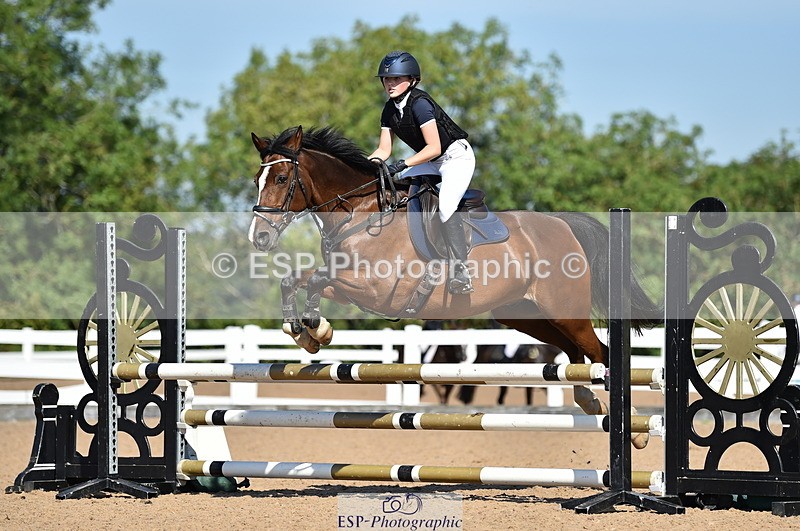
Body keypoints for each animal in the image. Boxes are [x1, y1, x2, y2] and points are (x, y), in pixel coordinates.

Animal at [248, 126, 660, 448]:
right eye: (257, 180)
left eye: (282, 179)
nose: (259, 238)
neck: (361, 215)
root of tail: (562, 224)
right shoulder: (352, 287)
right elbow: (295, 279)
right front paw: (302, 331)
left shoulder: (379, 290)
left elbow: (317, 279)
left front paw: (315, 327)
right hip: (522, 314)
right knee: (574, 355)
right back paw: (589, 402)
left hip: (564, 311)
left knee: (600, 353)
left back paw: (635, 429)